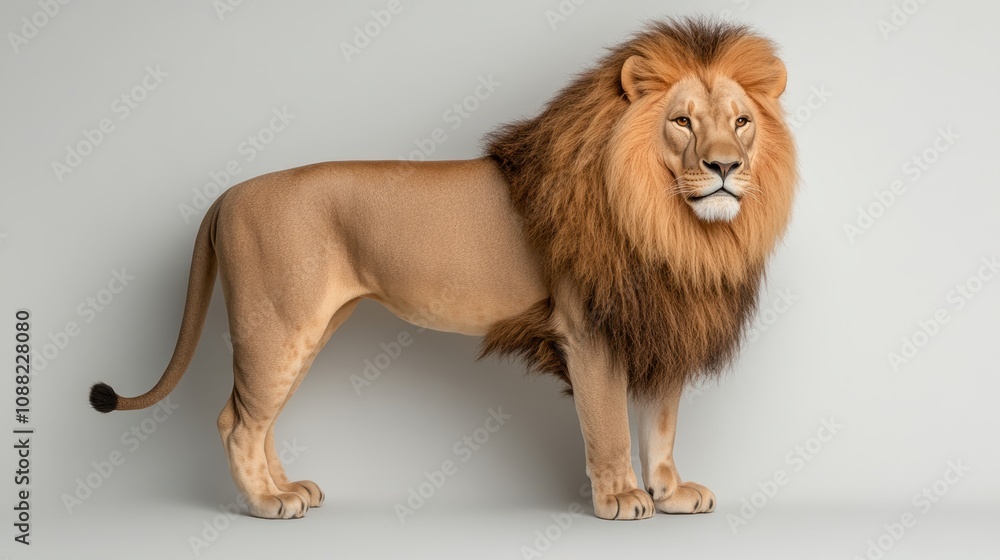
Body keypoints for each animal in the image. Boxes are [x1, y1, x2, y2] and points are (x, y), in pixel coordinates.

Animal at [89, 18, 796, 521]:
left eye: (741, 121)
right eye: (681, 122)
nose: (727, 166)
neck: (675, 229)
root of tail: (227, 194)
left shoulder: (661, 322)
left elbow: (662, 425)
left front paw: (671, 493)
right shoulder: (589, 330)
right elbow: (610, 427)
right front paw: (622, 499)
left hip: (305, 329)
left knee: (255, 418)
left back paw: (288, 488)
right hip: (277, 324)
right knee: (236, 421)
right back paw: (266, 504)